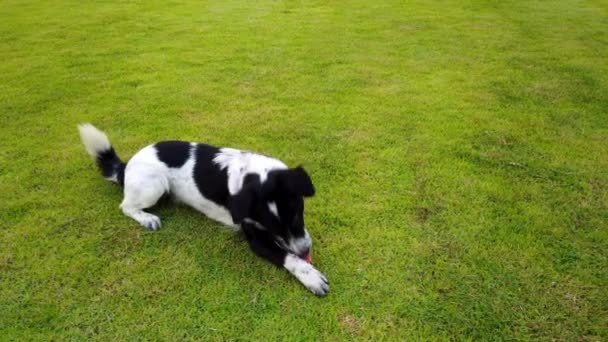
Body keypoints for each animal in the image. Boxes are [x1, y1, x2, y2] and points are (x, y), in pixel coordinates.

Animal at [79, 124, 332, 296]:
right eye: (273, 229)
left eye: (298, 214)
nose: (305, 251)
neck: (250, 174)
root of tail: (126, 165)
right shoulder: (255, 237)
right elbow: (286, 256)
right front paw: (310, 277)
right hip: (153, 185)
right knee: (126, 206)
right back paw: (147, 218)